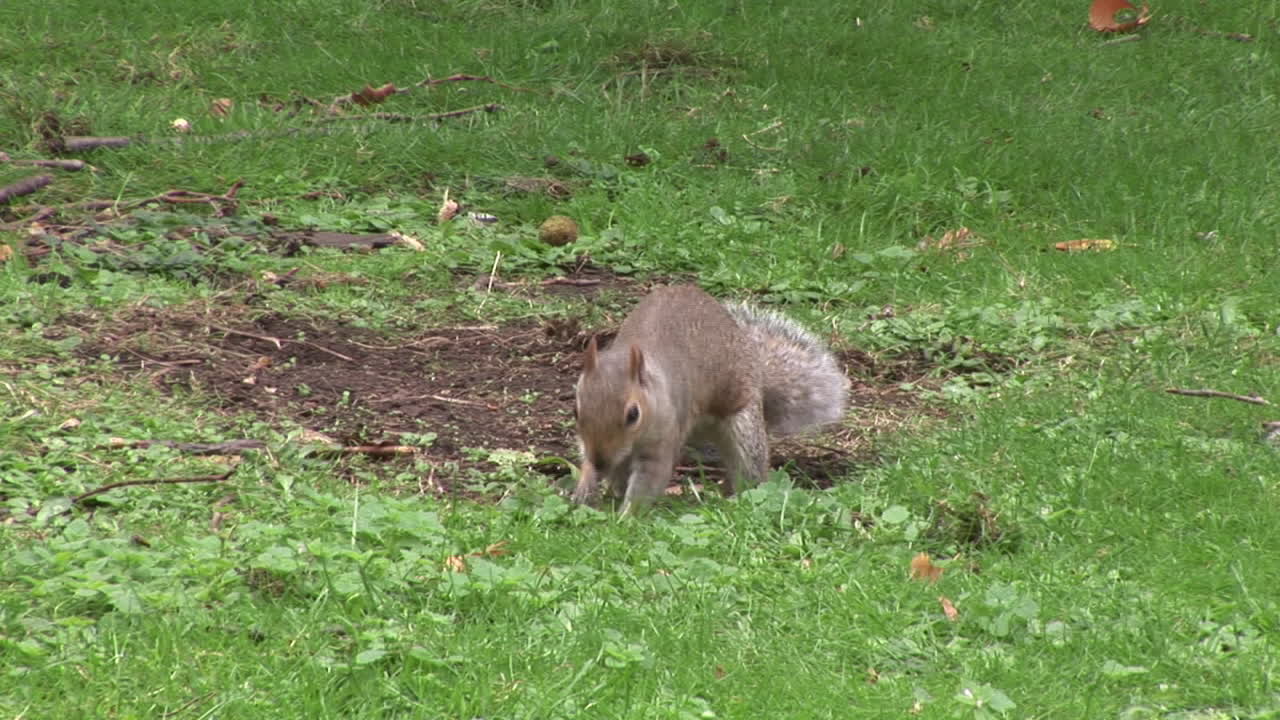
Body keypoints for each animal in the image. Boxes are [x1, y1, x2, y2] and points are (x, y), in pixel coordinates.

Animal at [571, 284, 849, 514]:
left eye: (633, 414)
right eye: (576, 411)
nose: (600, 461)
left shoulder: (664, 436)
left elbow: (649, 479)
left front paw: (627, 516)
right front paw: (584, 490)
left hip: (743, 426)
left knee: (750, 467)